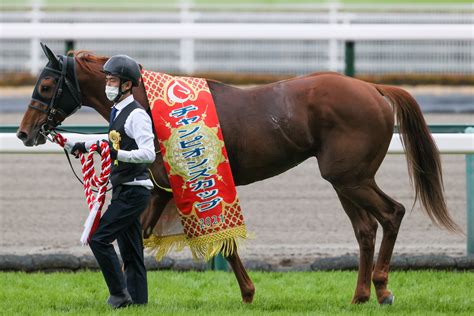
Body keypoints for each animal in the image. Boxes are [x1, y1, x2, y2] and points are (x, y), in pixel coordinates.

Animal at [16, 43, 458, 304]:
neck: (147, 104)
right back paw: (361, 295)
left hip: (351, 178)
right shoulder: (167, 189)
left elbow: (196, 241)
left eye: (46, 85)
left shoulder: (185, 184)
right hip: (344, 180)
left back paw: (381, 288)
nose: (24, 132)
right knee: (366, 229)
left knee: (391, 214)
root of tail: (375, 89)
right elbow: (159, 239)